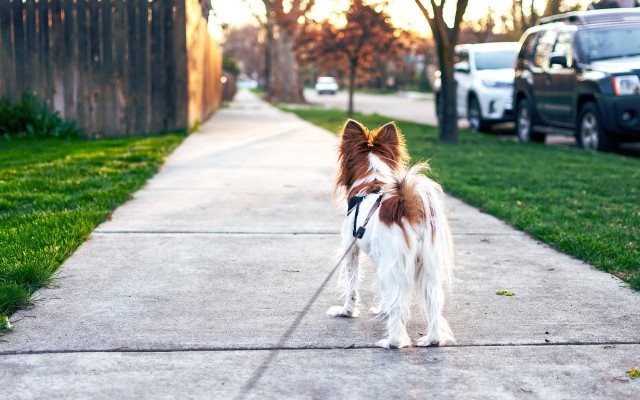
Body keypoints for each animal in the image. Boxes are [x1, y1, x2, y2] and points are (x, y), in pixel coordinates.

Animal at [328, 119, 458, 346]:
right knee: (433, 304)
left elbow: (352, 285)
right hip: (425, 267)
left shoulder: (351, 250)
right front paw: (382, 309)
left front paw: (347, 312)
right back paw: (432, 339)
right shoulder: (384, 260)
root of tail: (407, 205)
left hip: (395, 263)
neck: (371, 180)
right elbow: (384, 295)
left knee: (398, 306)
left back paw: (393, 342)